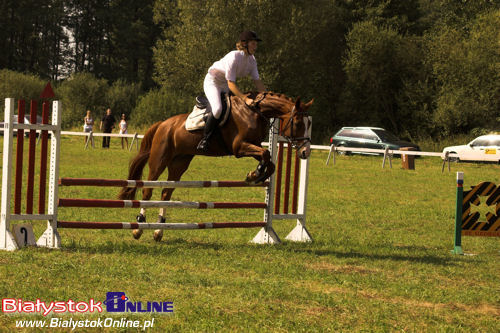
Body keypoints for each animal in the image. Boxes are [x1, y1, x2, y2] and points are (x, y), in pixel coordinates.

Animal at [117, 91, 312, 240]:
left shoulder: (253, 145)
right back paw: (139, 227)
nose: (305, 152)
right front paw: (255, 175)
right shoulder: (239, 147)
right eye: (298, 123)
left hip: (179, 163)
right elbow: (265, 154)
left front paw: (256, 174)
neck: (255, 112)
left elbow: (269, 161)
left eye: (308, 123)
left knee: (165, 193)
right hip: (159, 160)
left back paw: (158, 230)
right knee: (148, 190)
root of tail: (163, 124)